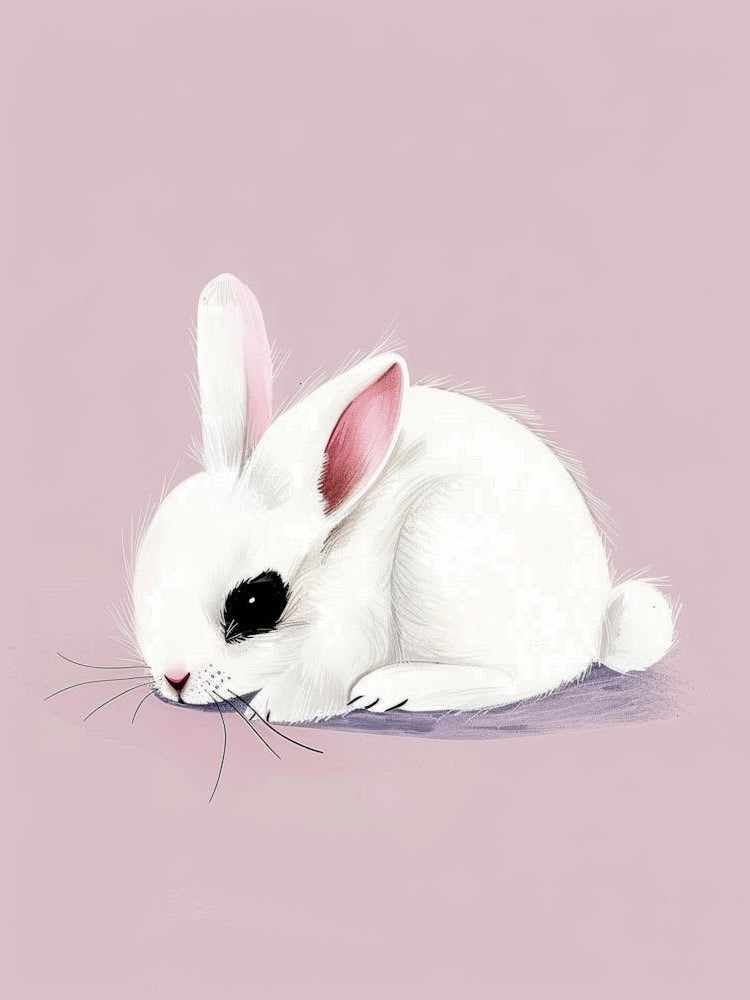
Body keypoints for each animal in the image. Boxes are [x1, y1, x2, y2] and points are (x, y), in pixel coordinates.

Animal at [132, 273, 675, 724]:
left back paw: (394, 687)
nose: (174, 679)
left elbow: (310, 689)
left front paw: (269, 709)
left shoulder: (346, 639)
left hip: (442, 552)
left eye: (255, 600)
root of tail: (595, 626)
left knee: (517, 679)